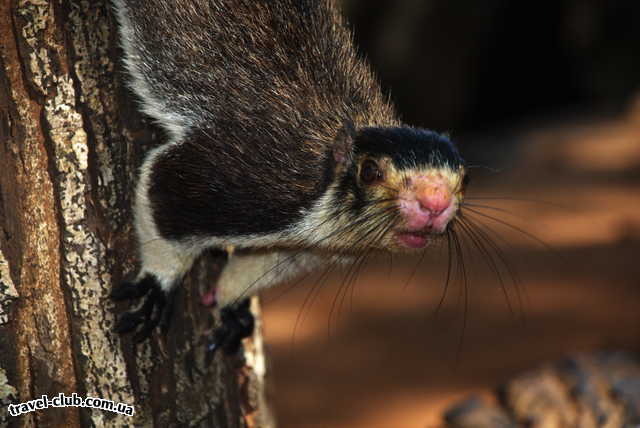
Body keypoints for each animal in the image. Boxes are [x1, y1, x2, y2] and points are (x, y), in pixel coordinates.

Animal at [111, 0, 464, 354]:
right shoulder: (246, 179)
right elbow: (163, 190)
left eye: (464, 181)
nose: (435, 203)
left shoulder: (300, 248)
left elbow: (258, 264)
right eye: (369, 171)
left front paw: (230, 301)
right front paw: (157, 286)